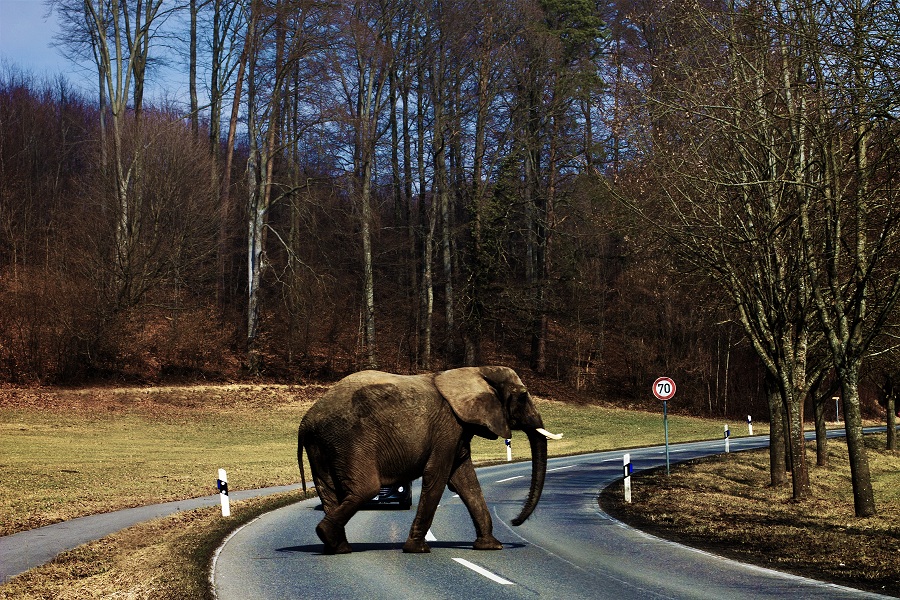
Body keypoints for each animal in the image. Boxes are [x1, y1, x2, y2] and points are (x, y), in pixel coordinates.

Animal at [298, 368, 560, 556]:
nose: (515, 521)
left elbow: (465, 480)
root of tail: (306, 421)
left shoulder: (458, 430)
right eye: (523, 396)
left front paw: (491, 546)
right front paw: (418, 549)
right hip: (349, 440)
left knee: (328, 490)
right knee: (366, 489)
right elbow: (439, 476)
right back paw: (330, 538)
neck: (476, 370)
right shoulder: (447, 428)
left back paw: (337, 547)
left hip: (323, 444)